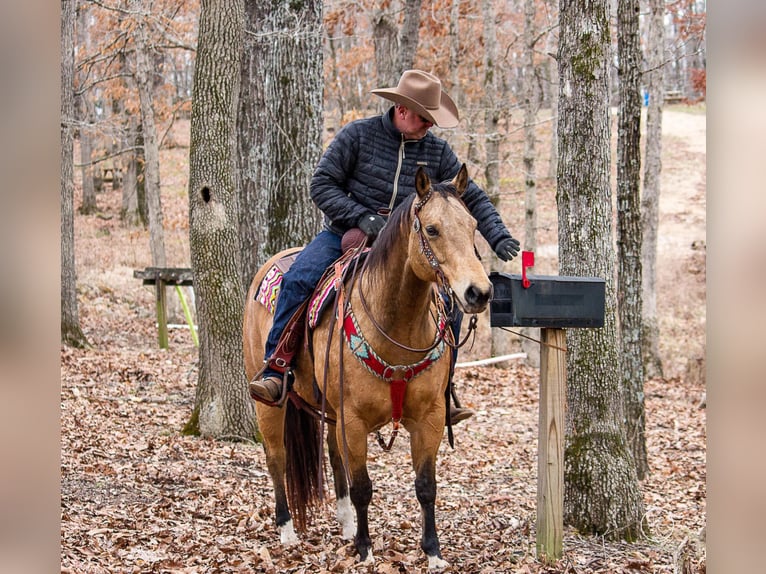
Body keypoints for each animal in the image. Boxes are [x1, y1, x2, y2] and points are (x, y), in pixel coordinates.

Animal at [248, 166, 498, 572]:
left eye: (473, 225)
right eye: (432, 229)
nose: (479, 292)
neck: (395, 327)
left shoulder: (428, 418)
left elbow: (426, 486)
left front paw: (433, 552)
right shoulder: (354, 420)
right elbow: (363, 486)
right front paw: (365, 549)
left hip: (331, 413)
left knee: (334, 458)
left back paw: (346, 524)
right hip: (270, 402)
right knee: (277, 457)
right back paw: (286, 530)